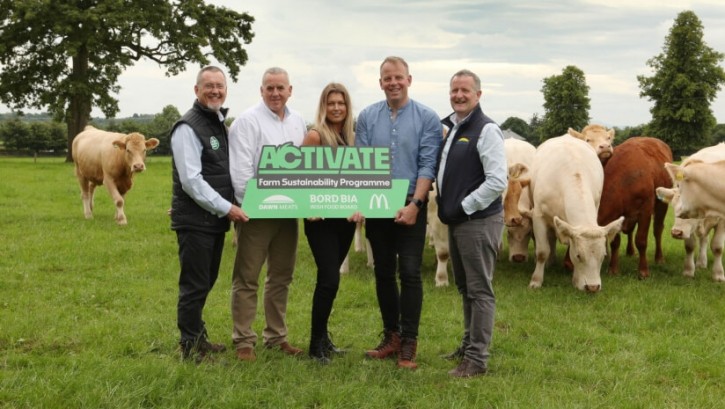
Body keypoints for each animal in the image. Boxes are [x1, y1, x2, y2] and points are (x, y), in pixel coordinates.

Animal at [520, 135, 624, 292]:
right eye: (579, 255)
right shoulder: (538, 216)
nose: (593, 287)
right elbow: (542, 251)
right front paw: (536, 281)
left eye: (603, 256)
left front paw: (575, 279)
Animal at [592, 137, 672, 278]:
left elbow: (641, 240)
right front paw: (613, 269)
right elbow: (615, 242)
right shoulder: (617, 216)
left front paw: (643, 271)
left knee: (657, 230)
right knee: (630, 232)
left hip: (662, 204)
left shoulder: (645, 210)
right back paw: (630, 251)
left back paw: (659, 258)